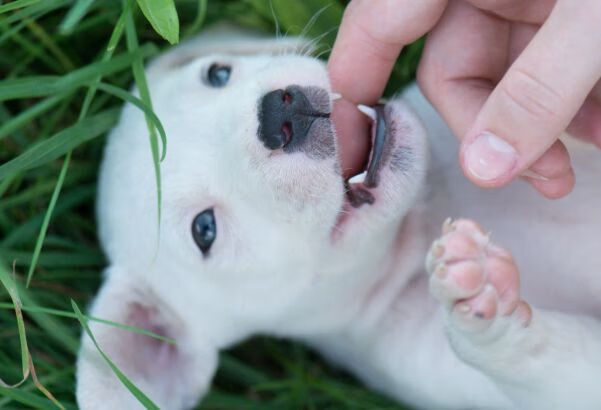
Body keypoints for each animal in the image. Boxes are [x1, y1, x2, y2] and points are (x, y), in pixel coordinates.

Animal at [74, 27, 600, 408]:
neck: (424, 220)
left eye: (218, 73)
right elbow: (554, 361)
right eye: (205, 230)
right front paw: (483, 301)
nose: (278, 114)